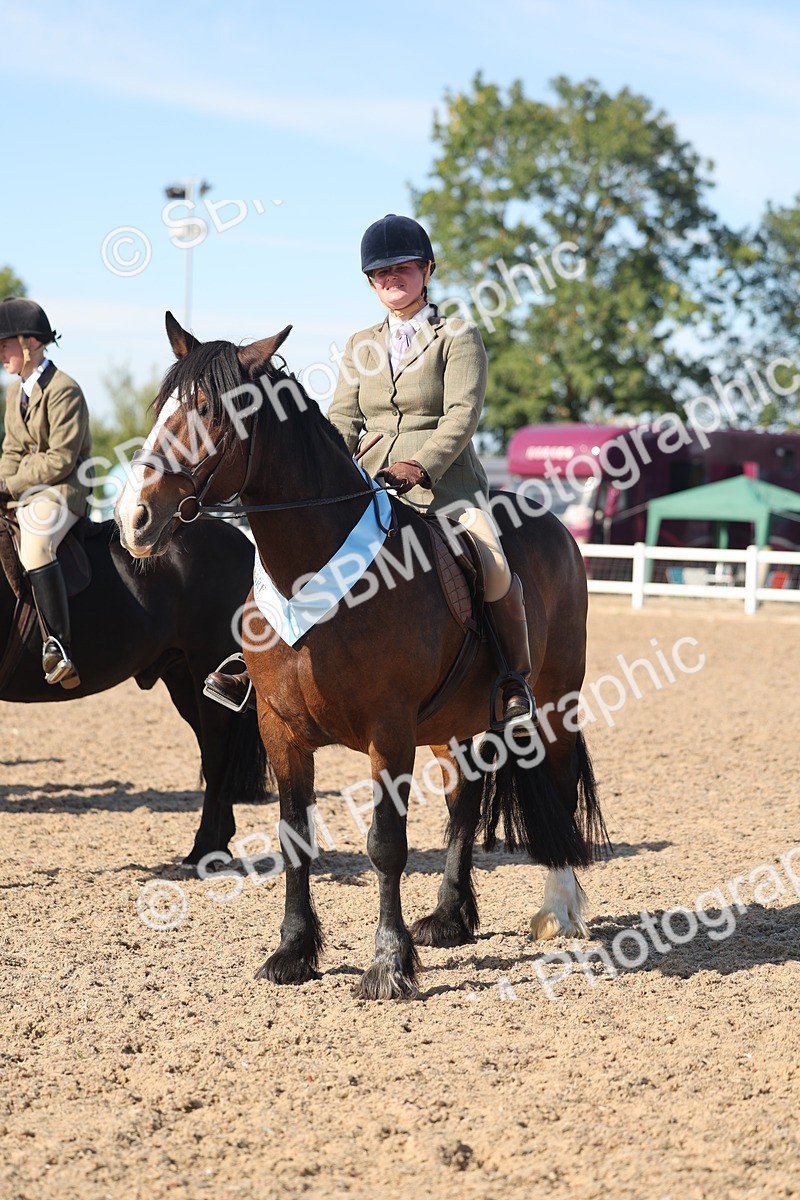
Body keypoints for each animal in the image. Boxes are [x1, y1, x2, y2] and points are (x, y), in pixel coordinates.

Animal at [116, 312, 608, 1000]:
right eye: (162, 408)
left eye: (212, 412)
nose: (132, 519)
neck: (313, 572)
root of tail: (554, 523)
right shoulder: (280, 728)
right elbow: (295, 838)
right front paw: (293, 952)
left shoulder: (388, 730)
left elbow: (386, 845)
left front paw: (388, 964)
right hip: (454, 724)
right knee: (464, 801)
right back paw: (449, 917)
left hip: (554, 703)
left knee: (556, 785)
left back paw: (558, 909)